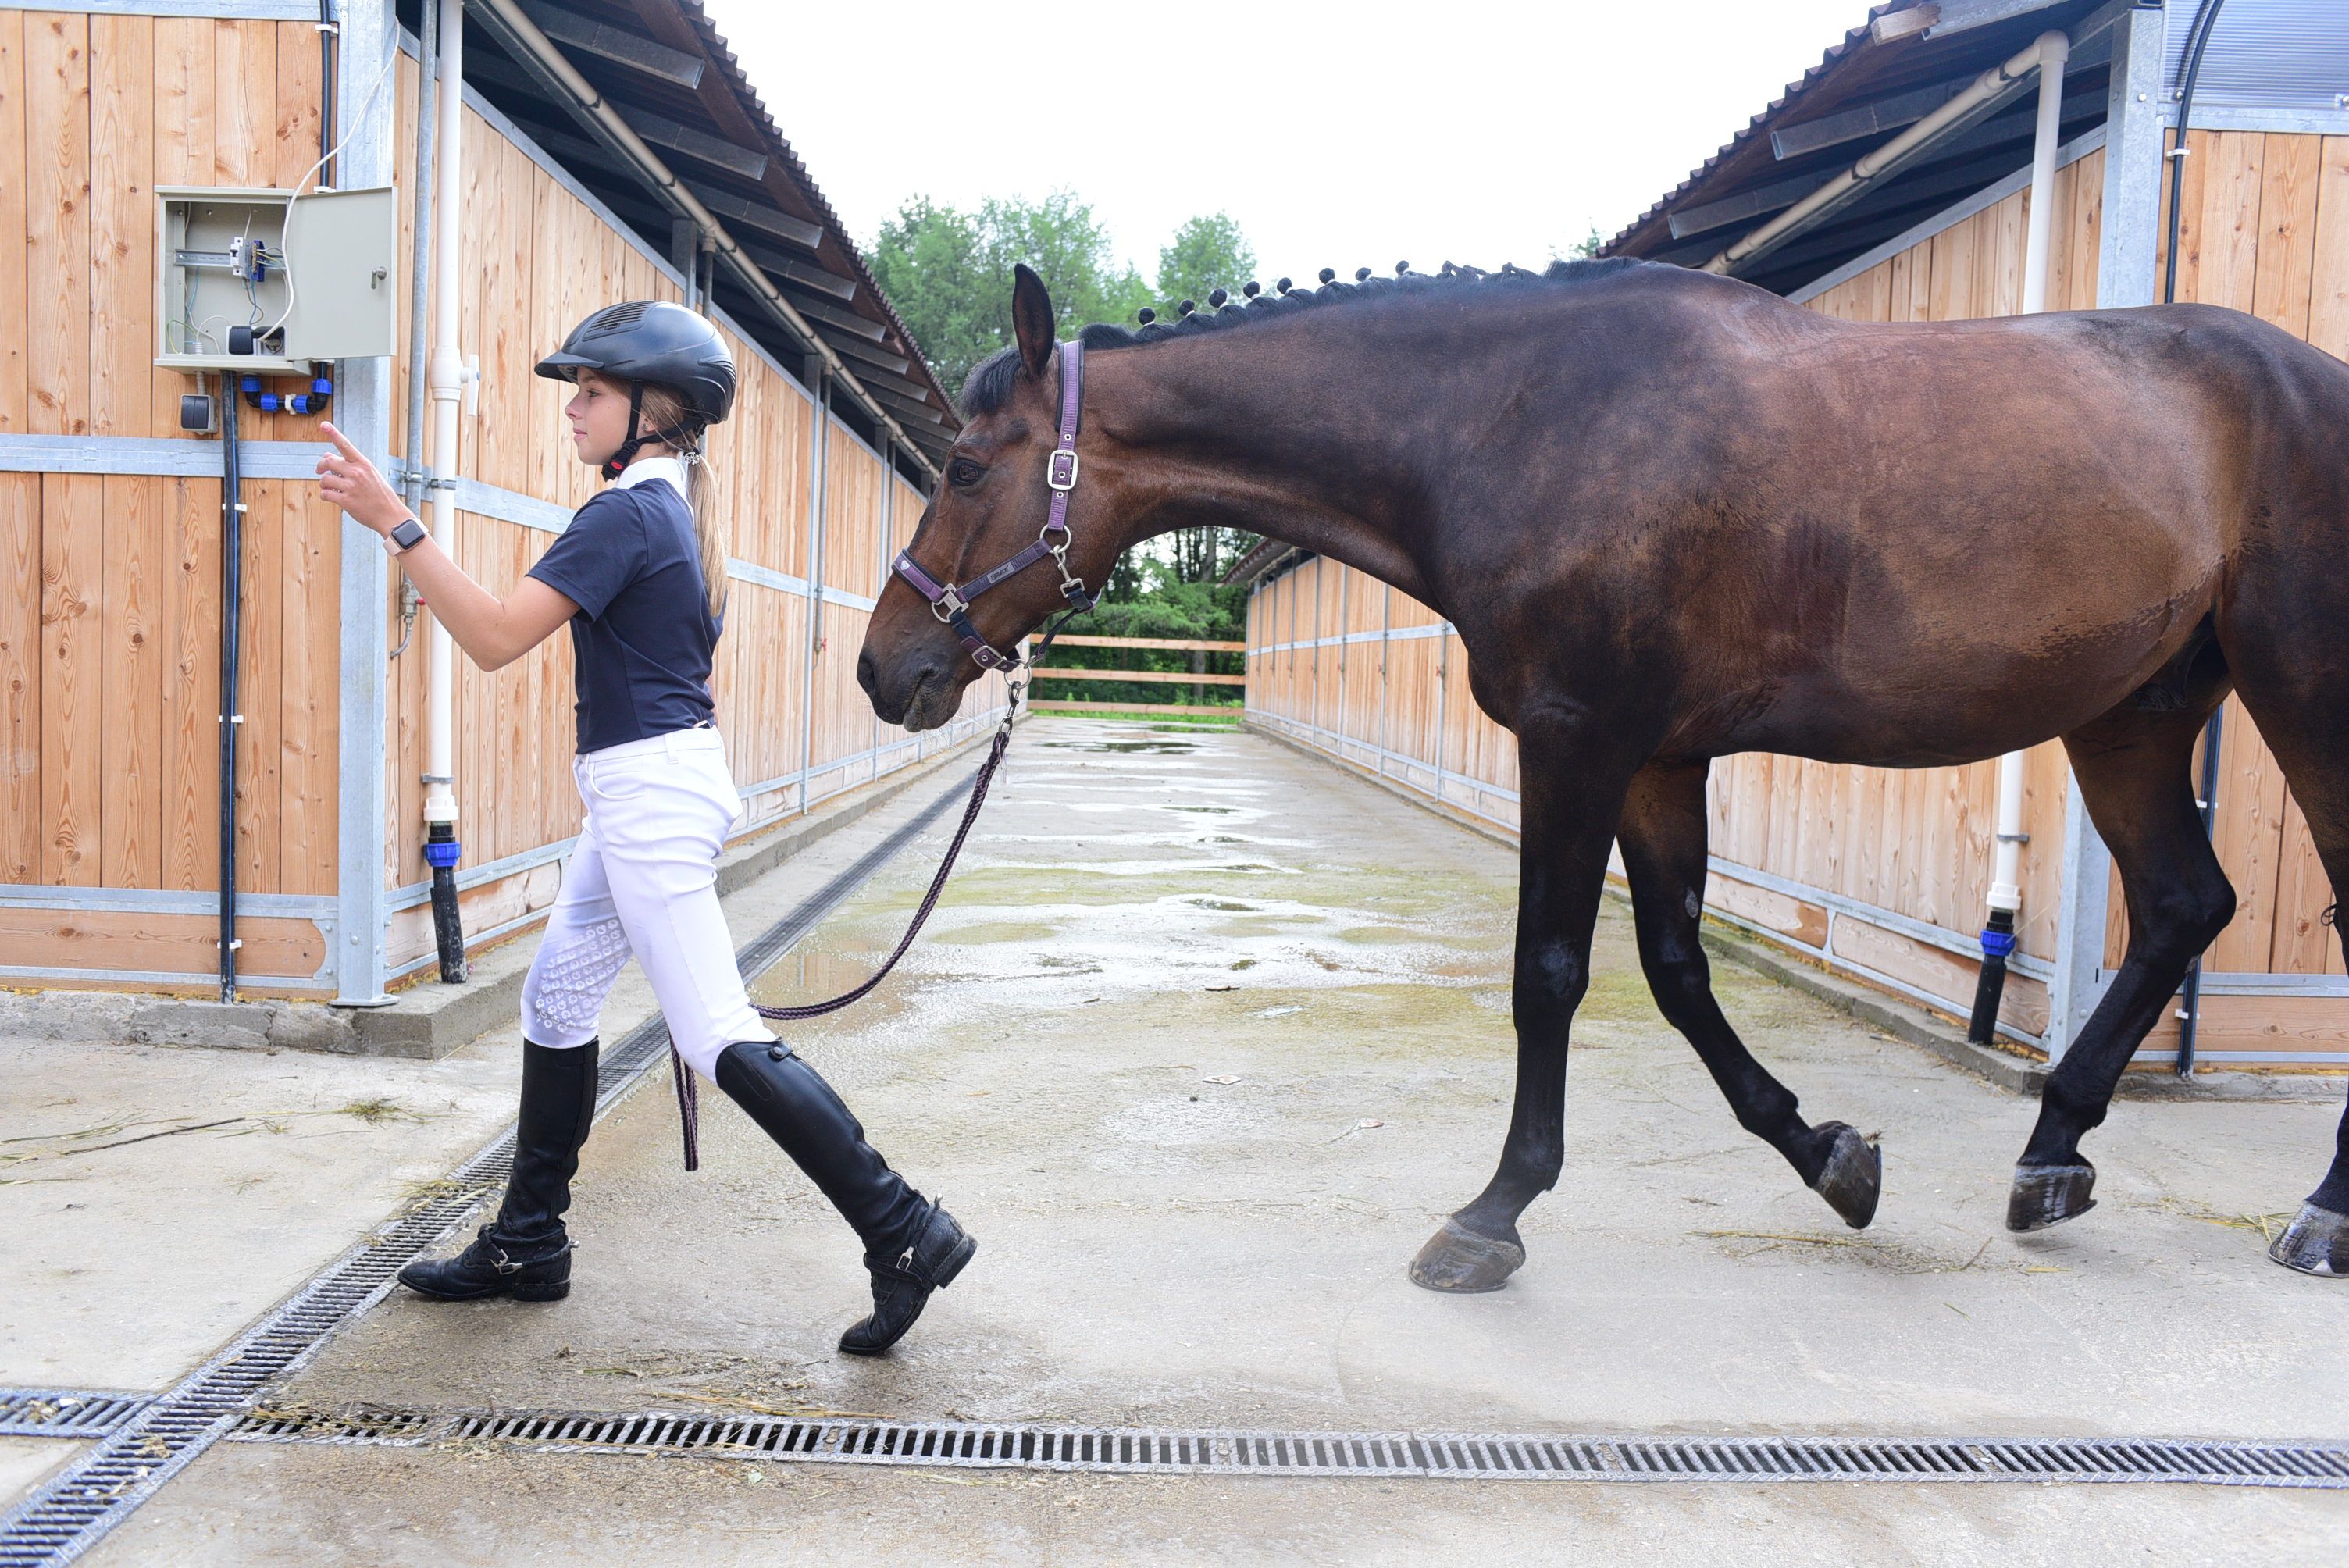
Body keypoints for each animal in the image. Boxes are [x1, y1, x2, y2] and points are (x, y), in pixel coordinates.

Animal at [854, 257, 2349, 1286]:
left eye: (965, 464)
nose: (885, 668)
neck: (1520, 420)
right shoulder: (1658, 758)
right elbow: (1678, 973)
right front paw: (1835, 1162)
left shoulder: (1576, 739)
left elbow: (1549, 973)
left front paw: (1489, 1215)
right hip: (2133, 714)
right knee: (2182, 905)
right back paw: (2050, 1159)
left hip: (2302, 695)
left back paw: (2319, 1213)